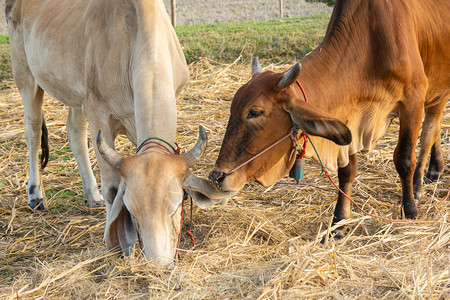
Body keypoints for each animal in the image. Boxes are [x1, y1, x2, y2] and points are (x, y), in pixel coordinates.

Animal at [4, 0, 227, 264]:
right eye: (132, 212)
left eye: (176, 206)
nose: (158, 264)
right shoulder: (97, 111)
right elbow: (112, 189)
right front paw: (111, 238)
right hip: (25, 74)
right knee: (33, 130)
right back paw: (36, 195)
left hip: (77, 96)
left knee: (75, 132)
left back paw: (91, 195)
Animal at [209, 0, 448, 238]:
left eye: (255, 112)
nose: (216, 176)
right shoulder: (350, 121)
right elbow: (347, 172)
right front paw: (340, 222)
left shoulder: (413, 99)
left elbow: (405, 159)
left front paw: (409, 210)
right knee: (434, 127)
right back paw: (435, 168)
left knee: (429, 132)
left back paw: (418, 185)